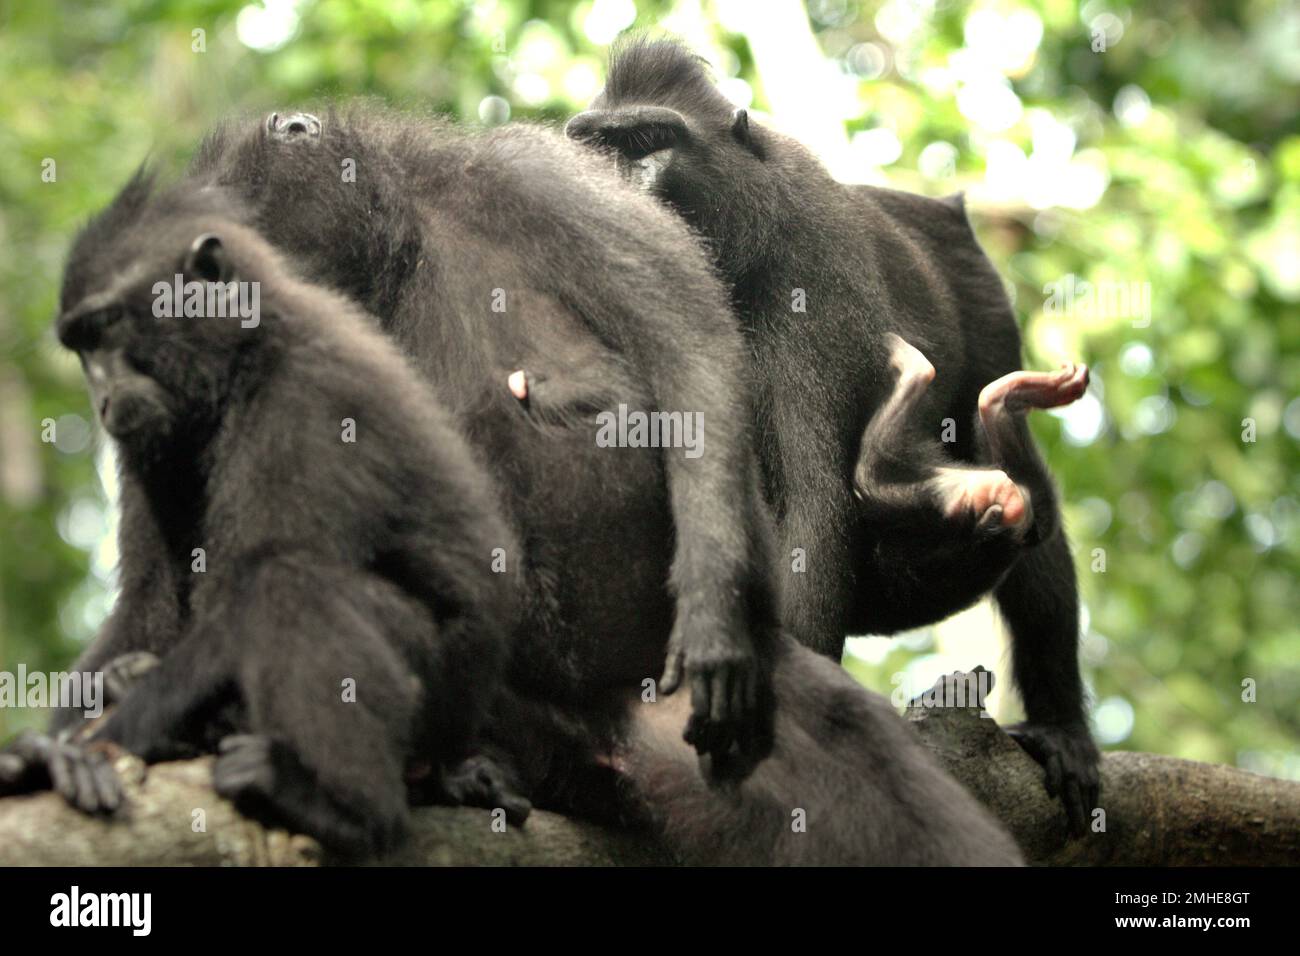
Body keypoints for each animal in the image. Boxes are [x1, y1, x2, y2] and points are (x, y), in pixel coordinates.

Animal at [565, 39, 1099, 831]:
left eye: (648, 142)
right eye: (596, 146)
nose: (612, 193)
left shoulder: (813, 285)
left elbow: (810, 526)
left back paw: (1062, 724)